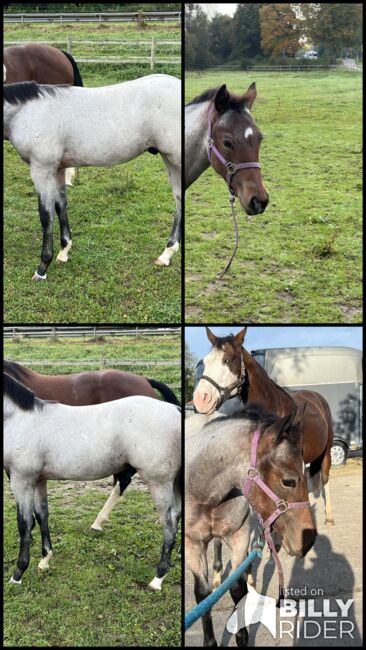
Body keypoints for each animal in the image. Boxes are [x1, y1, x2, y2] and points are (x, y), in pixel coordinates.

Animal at [2, 74, 180, 278]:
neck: (28, 110)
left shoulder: (41, 169)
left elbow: (46, 214)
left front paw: (42, 267)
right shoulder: (58, 169)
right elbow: (60, 206)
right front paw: (64, 251)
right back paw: (166, 255)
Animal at [184, 402, 316, 644]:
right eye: (288, 481)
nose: (308, 539)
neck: (201, 490)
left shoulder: (239, 536)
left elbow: (238, 588)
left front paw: (242, 634)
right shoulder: (192, 544)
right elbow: (202, 595)